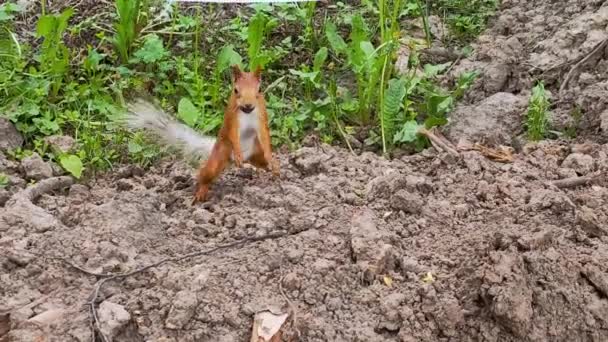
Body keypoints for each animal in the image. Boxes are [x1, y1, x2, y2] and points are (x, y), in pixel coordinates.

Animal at [126, 64, 282, 203]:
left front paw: (270, 156)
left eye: (259, 90)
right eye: (236, 90)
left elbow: (264, 134)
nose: (248, 105)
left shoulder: (261, 116)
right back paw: (201, 191)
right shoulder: (232, 119)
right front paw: (238, 153)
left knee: (264, 163)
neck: (247, 112)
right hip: (220, 154)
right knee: (205, 175)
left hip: (256, 153)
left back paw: (274, 168)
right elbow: (233, 133)